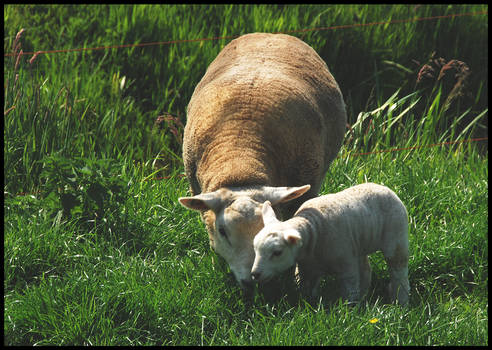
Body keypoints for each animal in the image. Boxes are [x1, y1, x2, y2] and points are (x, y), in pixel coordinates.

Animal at [252, 182, 410, 304]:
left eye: (277, 253)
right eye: (255, 249)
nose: (255, 274)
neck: (313, 230)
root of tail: (385, 188)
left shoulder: (346, 265)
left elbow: (350, 289)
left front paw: (350, 310)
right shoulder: (306, 269)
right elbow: (307, 289)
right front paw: (309, 302)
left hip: (397, 236)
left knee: (398, 270)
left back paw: (400, 302)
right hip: (359, 243)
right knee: (365, 269)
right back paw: (364, 295)